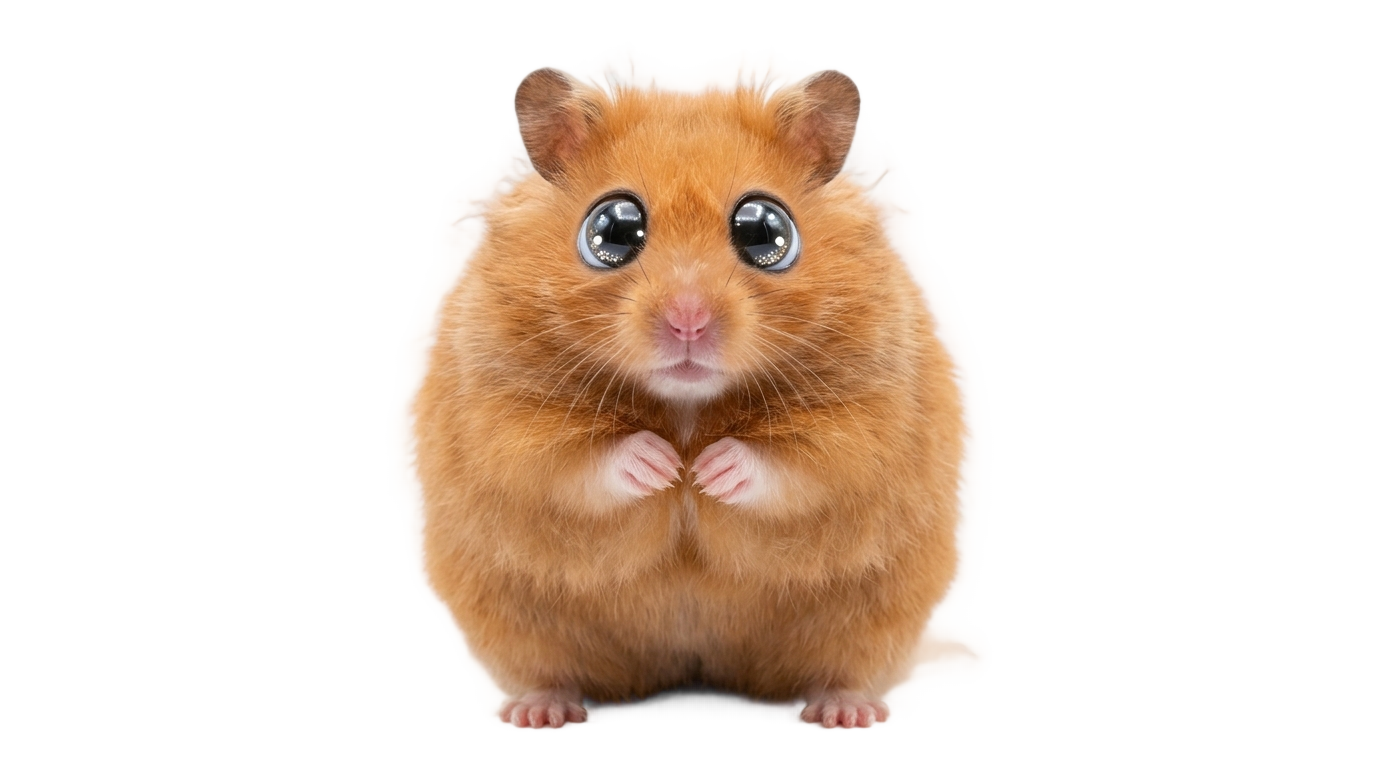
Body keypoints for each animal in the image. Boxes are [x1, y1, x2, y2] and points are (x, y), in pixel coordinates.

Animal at [409, 68, 962, 728]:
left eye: (764, 232)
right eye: (612, 230)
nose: (689, 322)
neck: (687, 403)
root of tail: (693, 668)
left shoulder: (873, 406)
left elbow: (806, 462)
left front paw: (706, 471)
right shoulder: (497, 403)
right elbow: (568, 459)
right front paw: (666, 467)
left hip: (870, 623)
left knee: (837, 675)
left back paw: (848, 717)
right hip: (515, 624)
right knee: (554, 675)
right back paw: (540, 717)